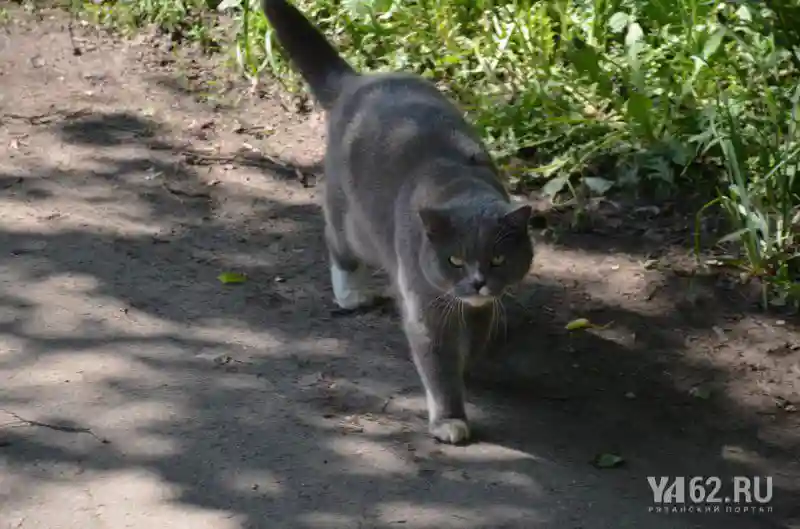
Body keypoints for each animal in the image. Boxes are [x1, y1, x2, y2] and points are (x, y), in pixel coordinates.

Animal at [264, 0, 536, 444]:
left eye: (498, 259)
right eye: (454, 260)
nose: (478, 281)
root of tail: (358, 81)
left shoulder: (482, 309)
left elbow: (474, 341)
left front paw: (468, 366)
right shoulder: (423, 307)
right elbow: (437, 363)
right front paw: (449, 420)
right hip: (352, 219)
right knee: (336, 241)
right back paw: (351, 294)